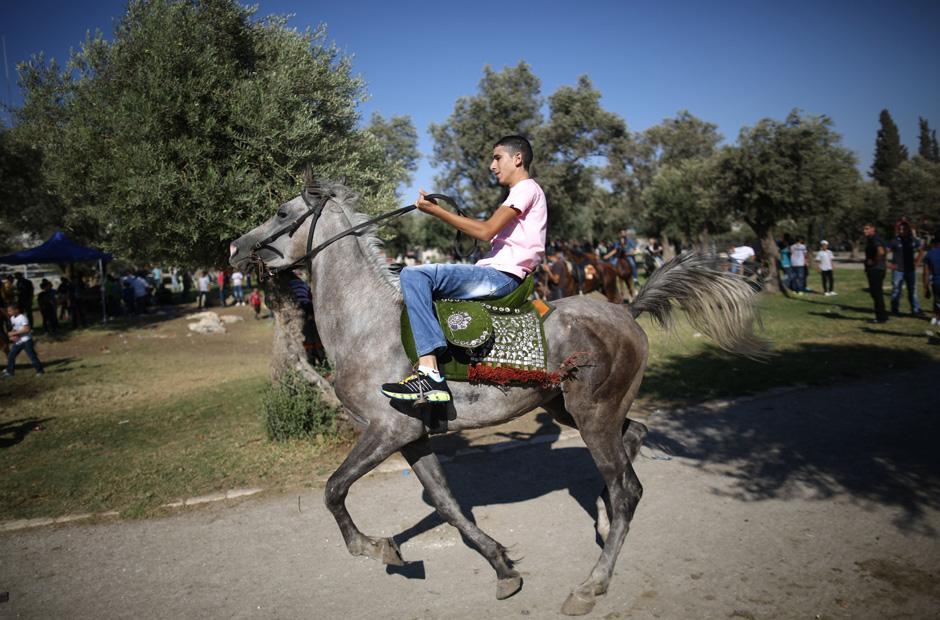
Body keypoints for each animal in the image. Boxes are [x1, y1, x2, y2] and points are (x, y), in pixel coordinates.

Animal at [231, 184, 768, 616]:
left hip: (593, 415)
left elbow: (333, 489)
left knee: (627, 490)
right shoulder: (412, 436)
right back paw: (598, 515)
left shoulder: (388, 430)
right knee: (635, 437)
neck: (366, 323)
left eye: (281, 212)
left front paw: (375, 548)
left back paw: (591, 585)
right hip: (570, 409)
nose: (235, 247)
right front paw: (503, 568)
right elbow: (448, 505)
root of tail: (626, 310)